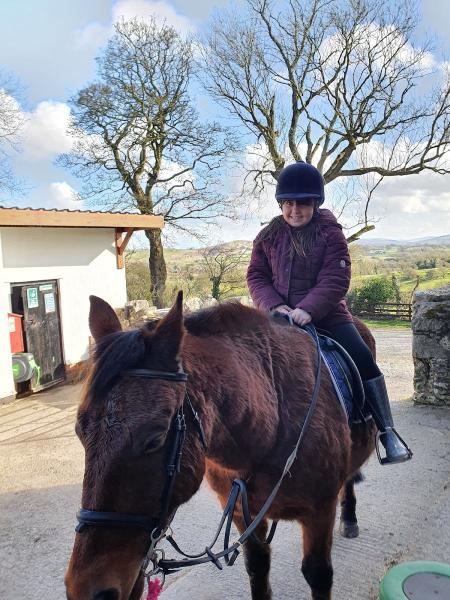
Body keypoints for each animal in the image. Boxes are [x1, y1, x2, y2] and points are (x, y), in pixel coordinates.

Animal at [65, 292, 376, 600]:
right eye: (80, 432)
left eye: (155, 438)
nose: (86, 589)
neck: (272, 424)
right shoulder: (242, 514)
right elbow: (257, 567)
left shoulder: (319, 512)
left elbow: (318, 575)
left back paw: (349, 517)